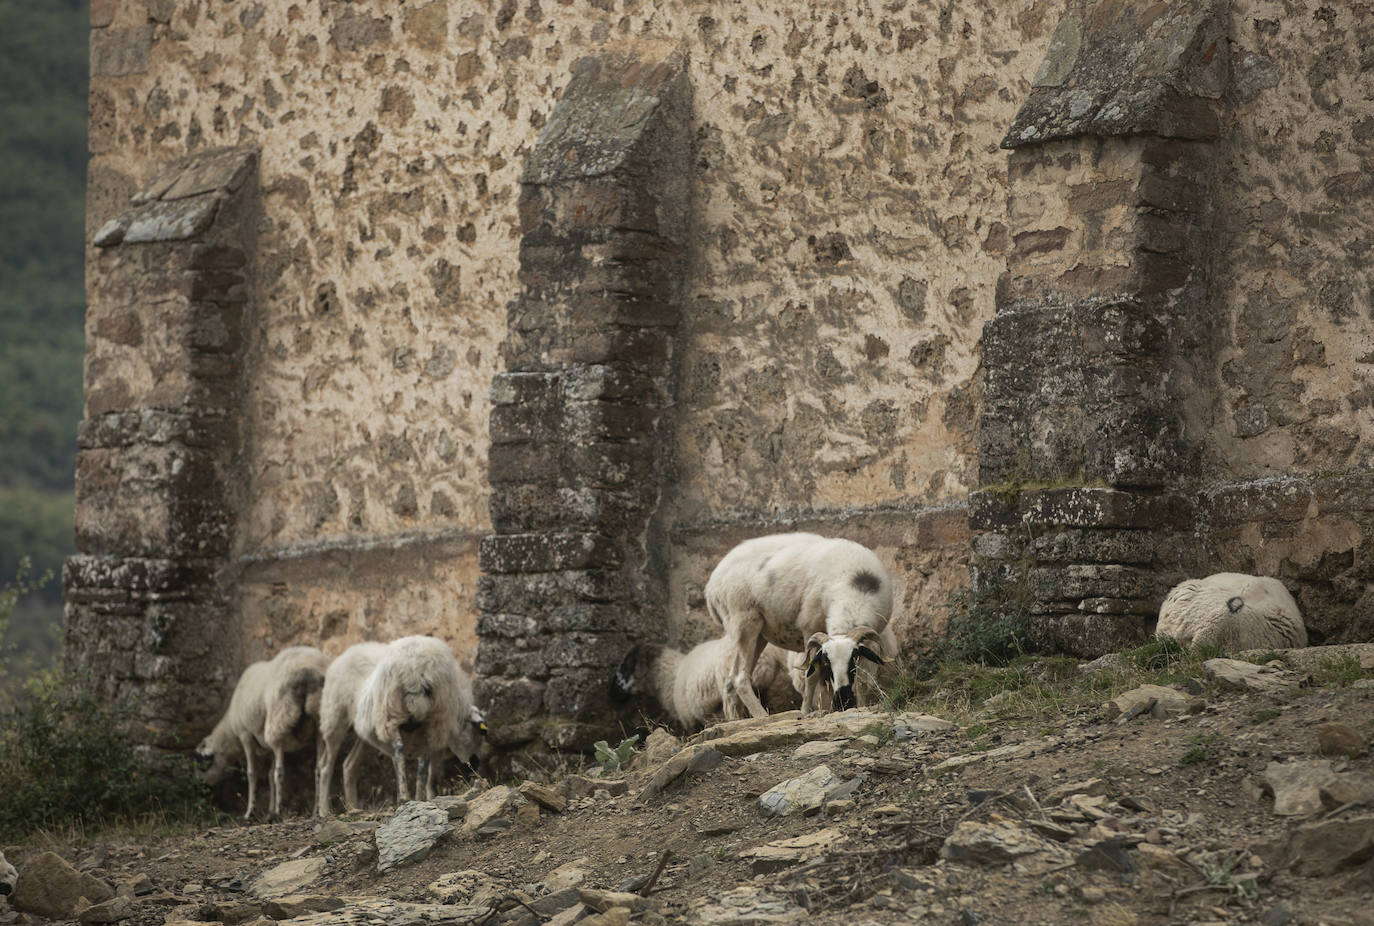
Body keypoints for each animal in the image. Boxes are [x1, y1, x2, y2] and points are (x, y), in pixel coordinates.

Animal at [610, 634, 796, 730]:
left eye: (627, 665)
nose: (612, 693)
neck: (671, 676)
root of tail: (771, 654)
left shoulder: (693, 719)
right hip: (780, 687)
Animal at [703, 530, 895, 719]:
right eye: (826, 661)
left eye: (853, 659)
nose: (842, 701)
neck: (854, 592)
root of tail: (711, 585)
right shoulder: (809, 629)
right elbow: (811, 674)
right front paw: (805, 712)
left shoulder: (870, 639)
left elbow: (863, 679)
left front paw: (861, 707)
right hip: (744, 622)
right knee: (739, 678)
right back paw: (762, 716)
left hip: (758, 635)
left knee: (730, 682)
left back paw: (735, 719)